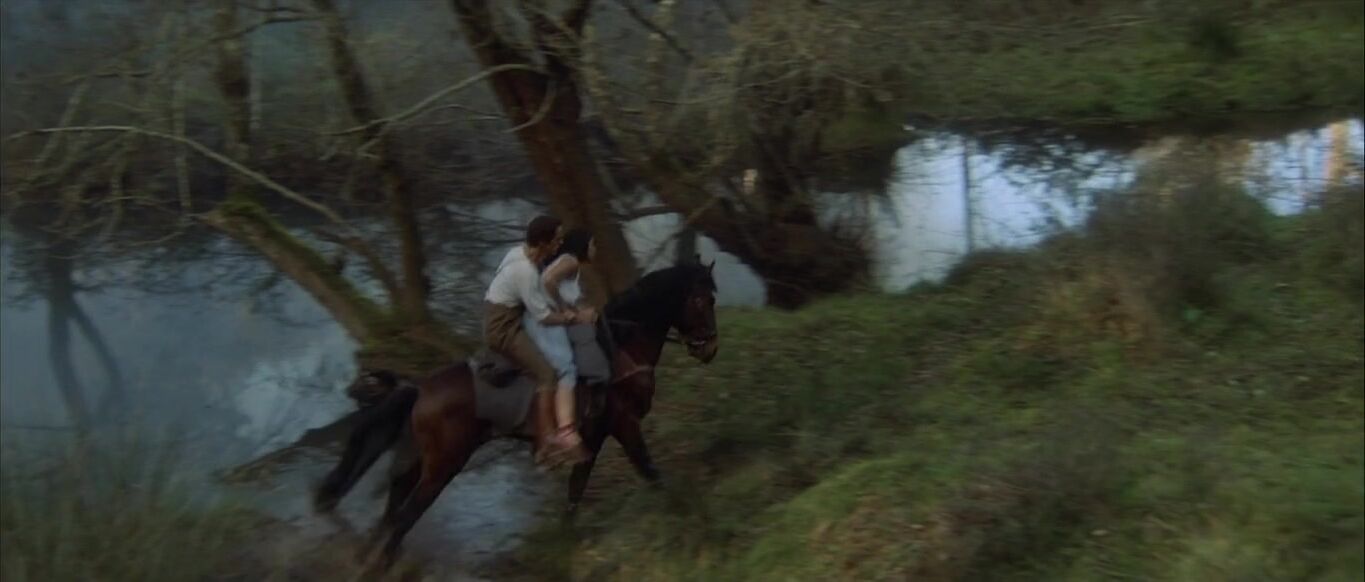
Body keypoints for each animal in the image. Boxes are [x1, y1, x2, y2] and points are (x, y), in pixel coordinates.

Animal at [312, 261, 720, 566]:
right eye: (702, 299)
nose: (710, 348)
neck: (621, 348)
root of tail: (419, 388)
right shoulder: (624, 425)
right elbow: (648, 471)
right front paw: (682, 508)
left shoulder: (593, 437)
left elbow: (575, 493)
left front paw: (565, 544)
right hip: (443, 467)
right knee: (403, 520)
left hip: (416, 461)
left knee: (392, 512)